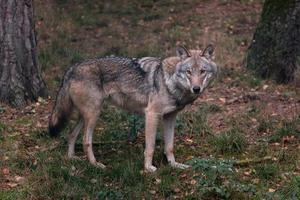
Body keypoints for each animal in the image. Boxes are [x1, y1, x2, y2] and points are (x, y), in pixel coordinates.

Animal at [49, 45, 218, 172]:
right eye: (188, 72)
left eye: (202, 71)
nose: (196, 89)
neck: (169, 81)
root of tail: (71, 68)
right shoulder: (152, 115)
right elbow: (150, 147)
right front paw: (149, 168)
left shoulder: (170, 117)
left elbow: (169, 147)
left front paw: (174, 165)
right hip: (94, 114)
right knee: (86, 141)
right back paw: (95, 165)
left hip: (86, 115)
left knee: (71, 135)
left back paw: (71, 158)